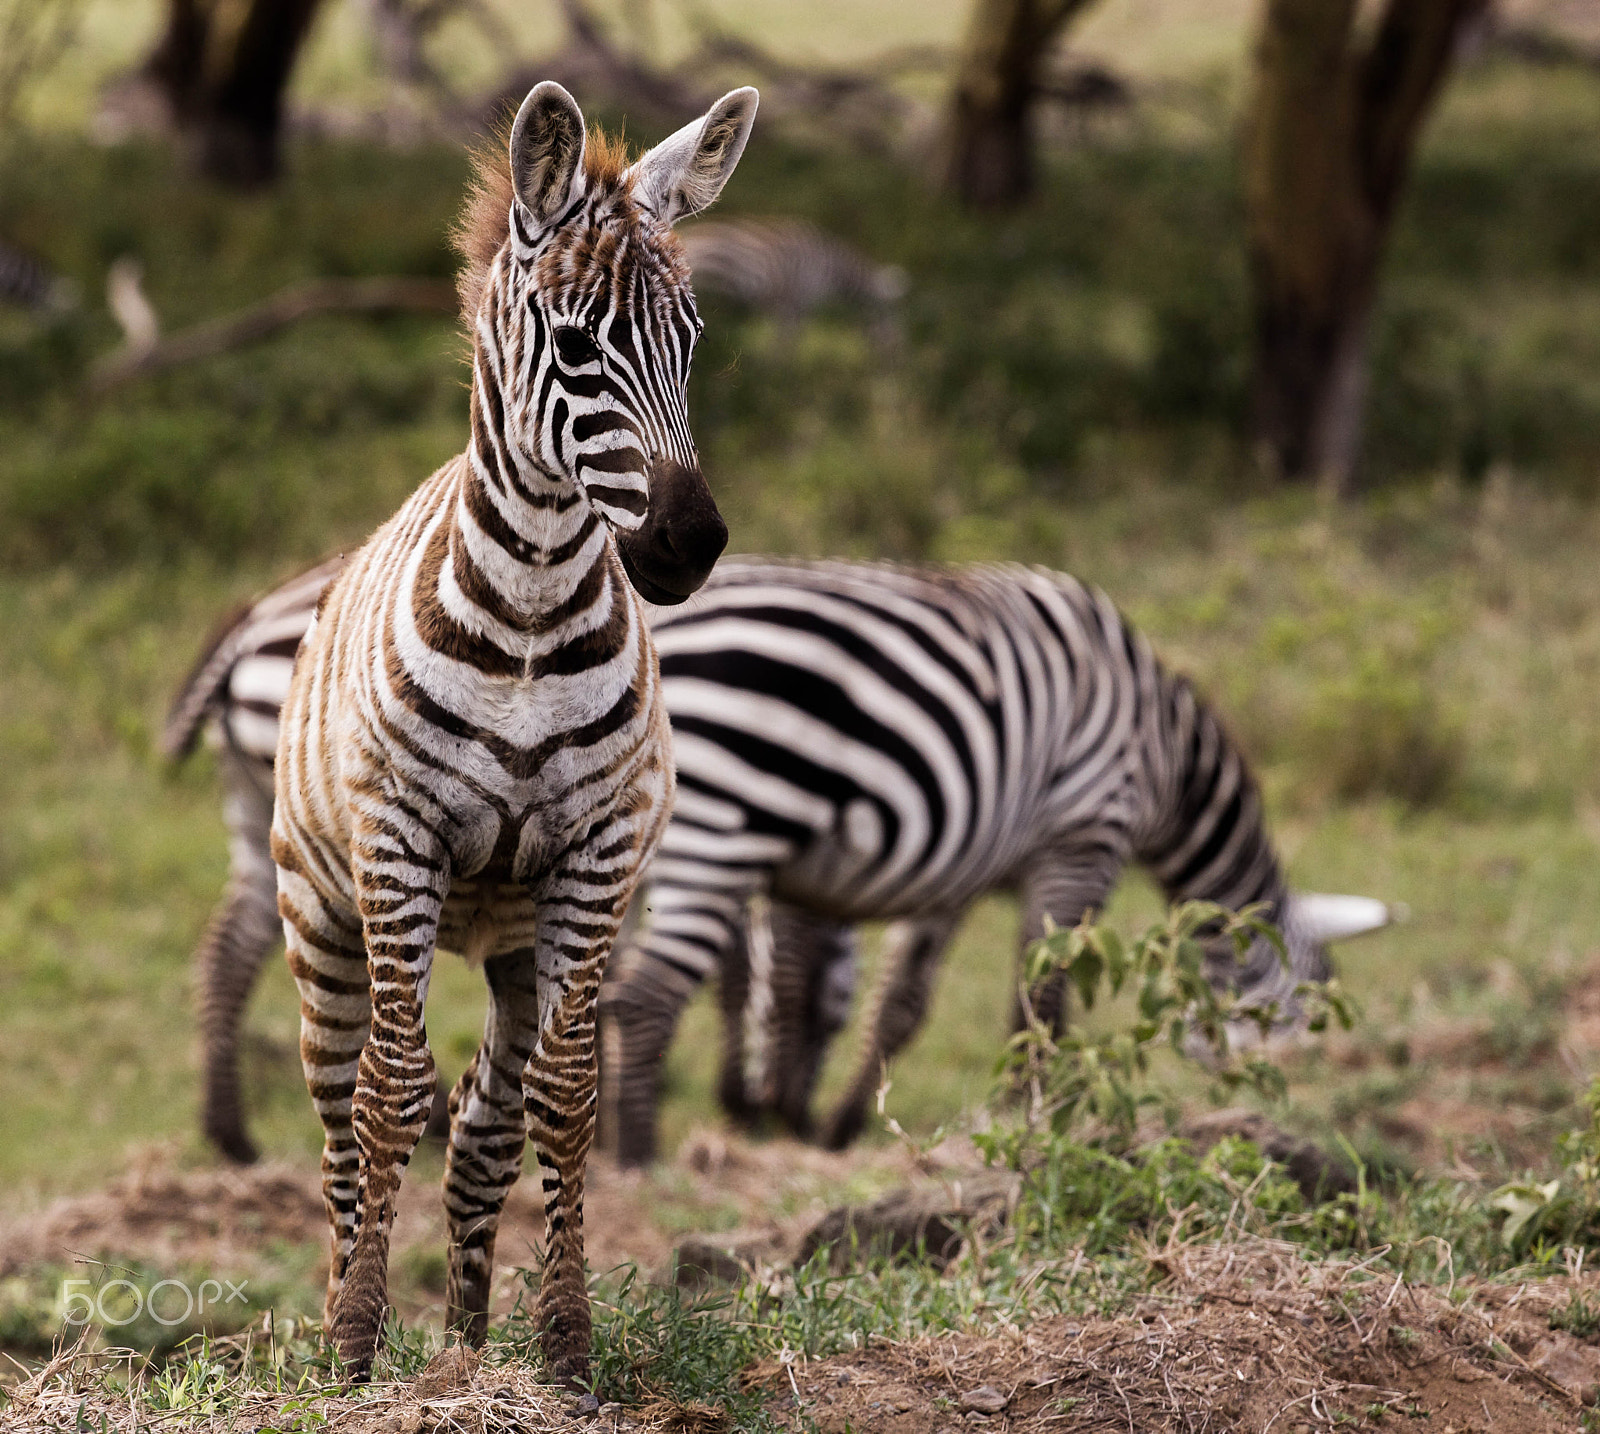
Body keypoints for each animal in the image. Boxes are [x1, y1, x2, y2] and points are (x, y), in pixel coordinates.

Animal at [265, 84, 758, 1382]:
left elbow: (565, 1096)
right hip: (319, 913)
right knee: (340, 1107)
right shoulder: (399, 847)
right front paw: (354, 1351)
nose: (689, 545)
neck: (532, 617)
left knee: (490, 1112)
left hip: (516, 934)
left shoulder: (595, 857)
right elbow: (393, 1091)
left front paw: (564, 1350)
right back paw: (348, 1315)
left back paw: (470, 1342)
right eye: (579, 347)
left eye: (693, 341)